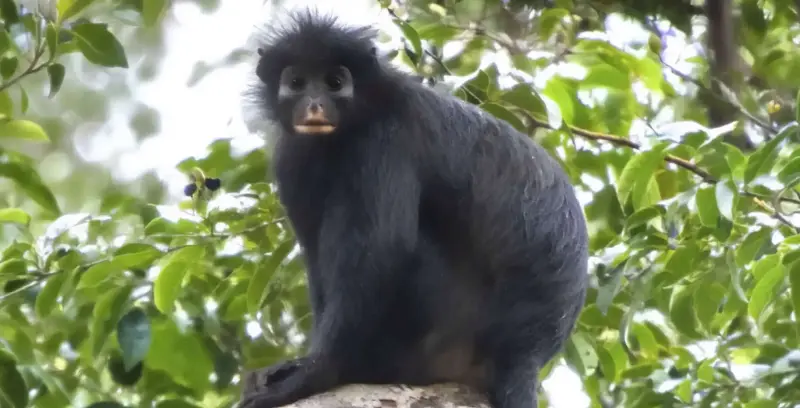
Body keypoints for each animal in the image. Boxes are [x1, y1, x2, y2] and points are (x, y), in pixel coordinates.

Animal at [239, 9, 589, 408]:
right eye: (297, 82)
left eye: (334, 82)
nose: (315, 104)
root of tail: (525, 353)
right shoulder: (292, 156)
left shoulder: (386, 139)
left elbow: (381, 250)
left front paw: (316, 373)